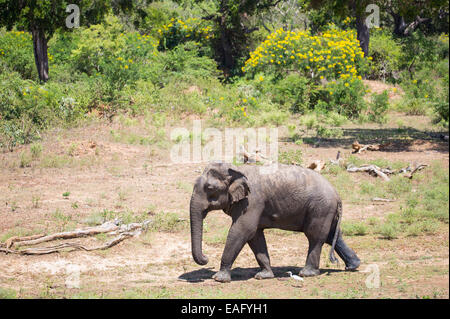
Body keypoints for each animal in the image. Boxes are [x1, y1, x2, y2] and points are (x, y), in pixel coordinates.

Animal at [188, 162, 360, 282]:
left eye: (210, 188)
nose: (206, 258)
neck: (236, 168)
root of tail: (337, 195)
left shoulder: (252, 202)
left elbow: (243, 230)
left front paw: (219, 278)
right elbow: (255, 236)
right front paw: (264, 276)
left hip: (320, 208)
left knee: (315, 237)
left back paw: (307, 273)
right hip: (326, 211)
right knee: (332, 236)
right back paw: (353, 266)